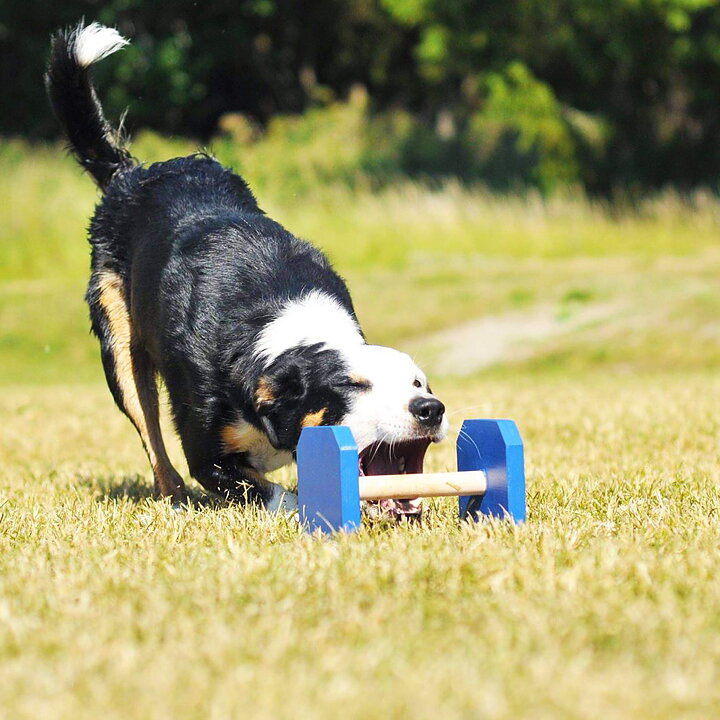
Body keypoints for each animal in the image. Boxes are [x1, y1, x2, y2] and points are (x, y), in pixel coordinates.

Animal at [45, 22, 448, 516]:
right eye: (355, 386)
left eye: (418, 382)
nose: (429, 408)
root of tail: (131, 174)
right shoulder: (206, 449)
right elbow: (268, 490)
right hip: (119, 345)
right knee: (151, 433)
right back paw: (174, 497)